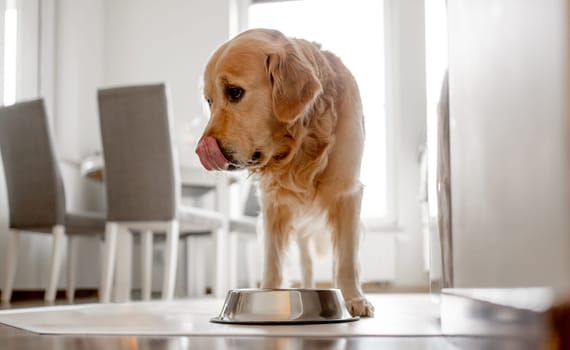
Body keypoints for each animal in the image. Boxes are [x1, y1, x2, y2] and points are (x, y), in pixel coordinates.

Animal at [195, 28, 372, 316]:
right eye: (209, 101)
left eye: (234, 92)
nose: (201, 149)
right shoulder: (273, 205)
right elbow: (273, 261)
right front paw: (268, 295)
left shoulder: (347, 193)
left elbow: (346, 258)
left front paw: (355, 299)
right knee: (305, 261)